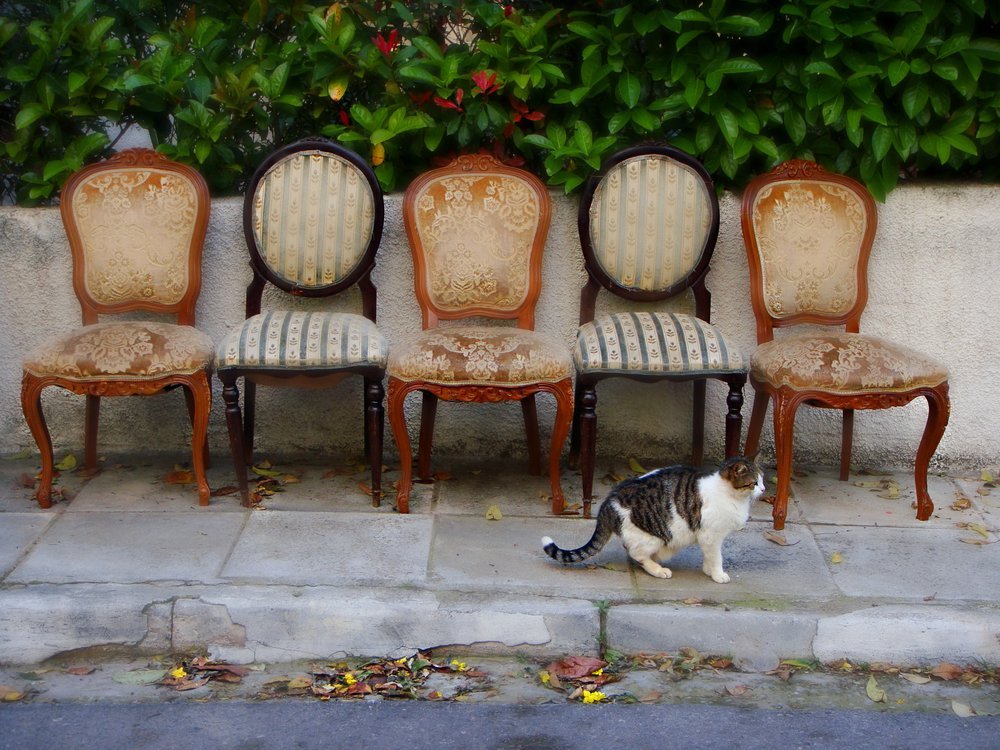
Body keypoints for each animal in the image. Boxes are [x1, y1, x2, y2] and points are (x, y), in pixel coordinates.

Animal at [542, 456, 765, 582]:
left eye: (762, 480)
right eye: (754, 482)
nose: (763, 489)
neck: (731, 495)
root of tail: (608, 503)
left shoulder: (708, 538)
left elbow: (709, 556)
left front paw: (708, 571)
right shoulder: (711, 535)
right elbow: (716, 557)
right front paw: (718, 575)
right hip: (653, 536)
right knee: (636, 553)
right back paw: (658, 570)